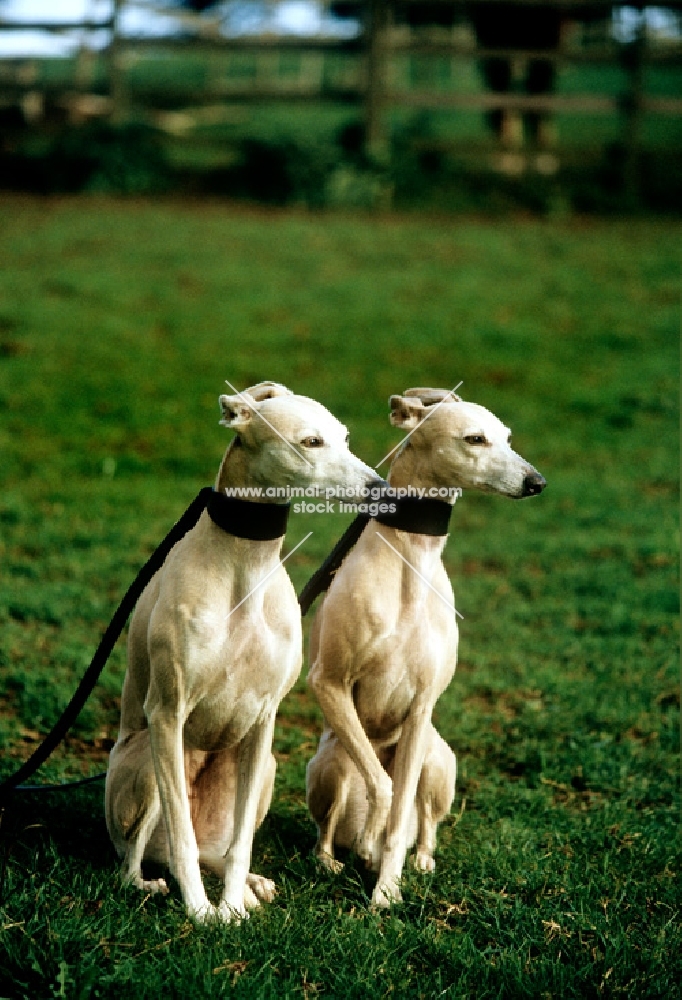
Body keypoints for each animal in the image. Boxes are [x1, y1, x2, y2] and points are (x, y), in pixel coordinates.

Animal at [106, 380, 382, 920]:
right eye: (311, 441)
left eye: (343, 436)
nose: (382, 488)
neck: (246, 566)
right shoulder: (167, 712)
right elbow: (182, 838)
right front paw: (201, 913)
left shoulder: (263, 720)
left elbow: (239, 848)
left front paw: (232, 906)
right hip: (148, 763)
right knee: (144, 856)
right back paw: (151, 882)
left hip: (266, 768)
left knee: (214, 848)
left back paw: (252, 886)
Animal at [306, 388, 544, 908]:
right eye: (474, 439)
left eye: (508, 437)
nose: (536, 482)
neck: (410, 562)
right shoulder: (328, 683)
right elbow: (381, 786)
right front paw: (370, 846)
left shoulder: (420, 711)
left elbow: (400, 814)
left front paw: (386, 889)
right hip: (329, 765)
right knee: (330, 824)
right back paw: (335, 857)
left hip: (438, 761)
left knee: (426, 822)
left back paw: (422, 860)